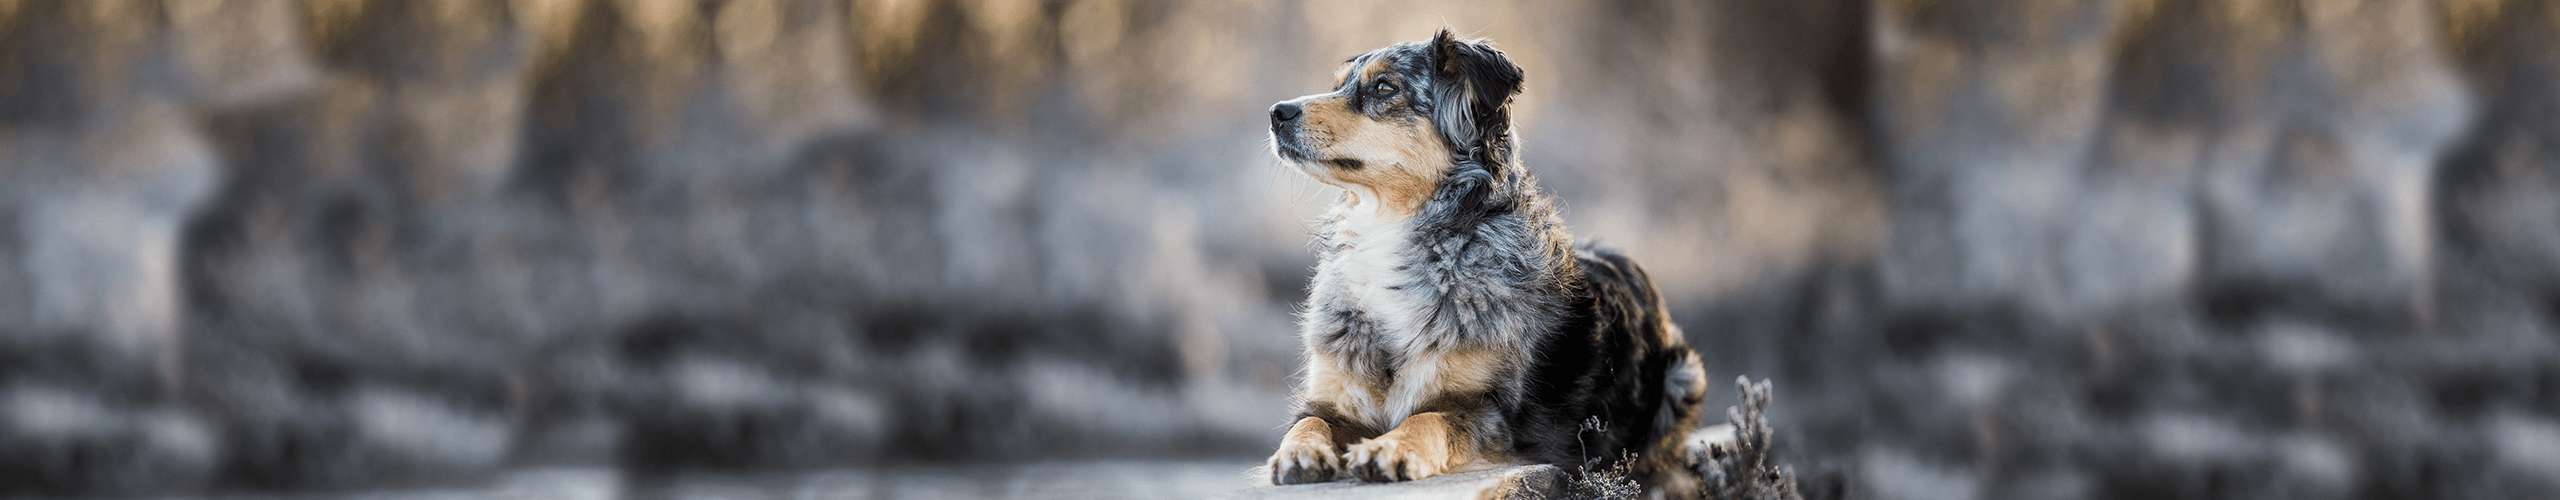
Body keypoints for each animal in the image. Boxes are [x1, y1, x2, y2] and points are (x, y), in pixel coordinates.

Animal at [1269, 28, 1710, 492]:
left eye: (1384, 88)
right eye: (1338, 85)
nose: (1278, 113)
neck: (1394, 227)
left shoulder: (1487, 410)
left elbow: (1431, 418)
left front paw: (1390, 448)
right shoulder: (1332, 396)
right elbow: (1308, 422)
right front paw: (1298, 453)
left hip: (1685, 375)